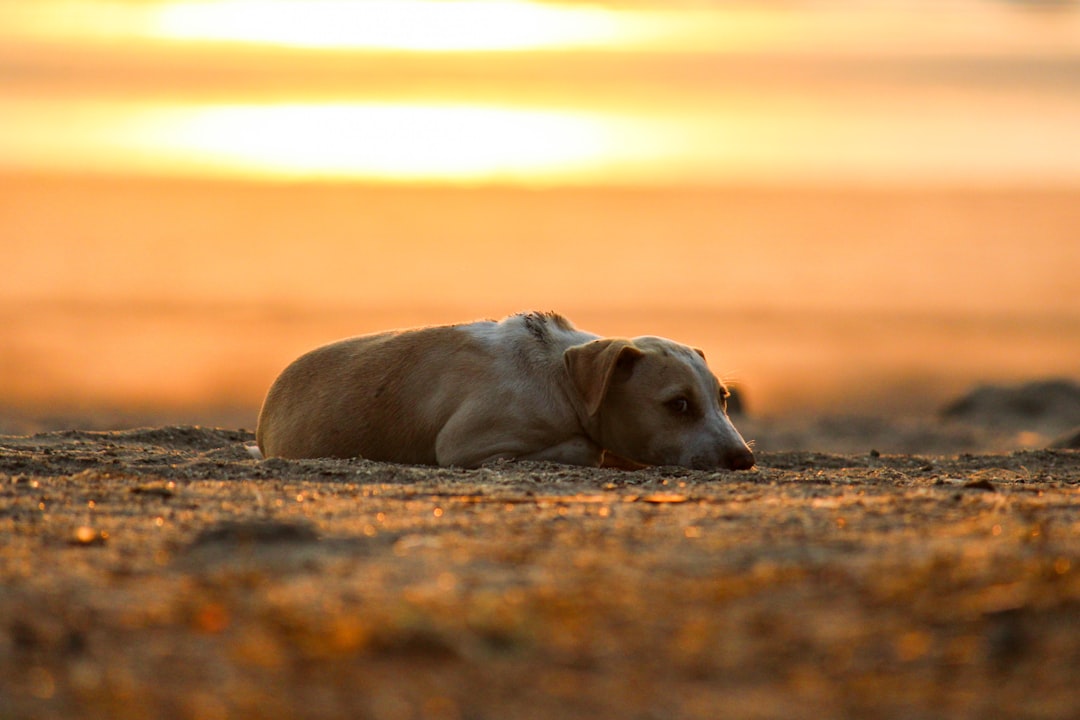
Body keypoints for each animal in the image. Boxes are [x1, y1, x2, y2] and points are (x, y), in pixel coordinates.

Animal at [255, 310, 756, 472]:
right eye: (678, 404)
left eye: (724, 399)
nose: (744, 459)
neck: (561, 376)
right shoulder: (465, 444)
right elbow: (585, 448)